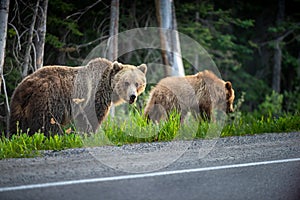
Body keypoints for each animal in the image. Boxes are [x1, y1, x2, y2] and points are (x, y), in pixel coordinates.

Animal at [9, 57, 148, 136]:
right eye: (126, 82)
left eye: (137, 83)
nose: (133, 96)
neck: (108, 86)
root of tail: (27, 87)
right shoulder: (94, 97)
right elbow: (92, 118)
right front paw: (90, 134)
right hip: (48, 101)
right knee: (46, 124)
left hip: (17, 105)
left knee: (16, 126)